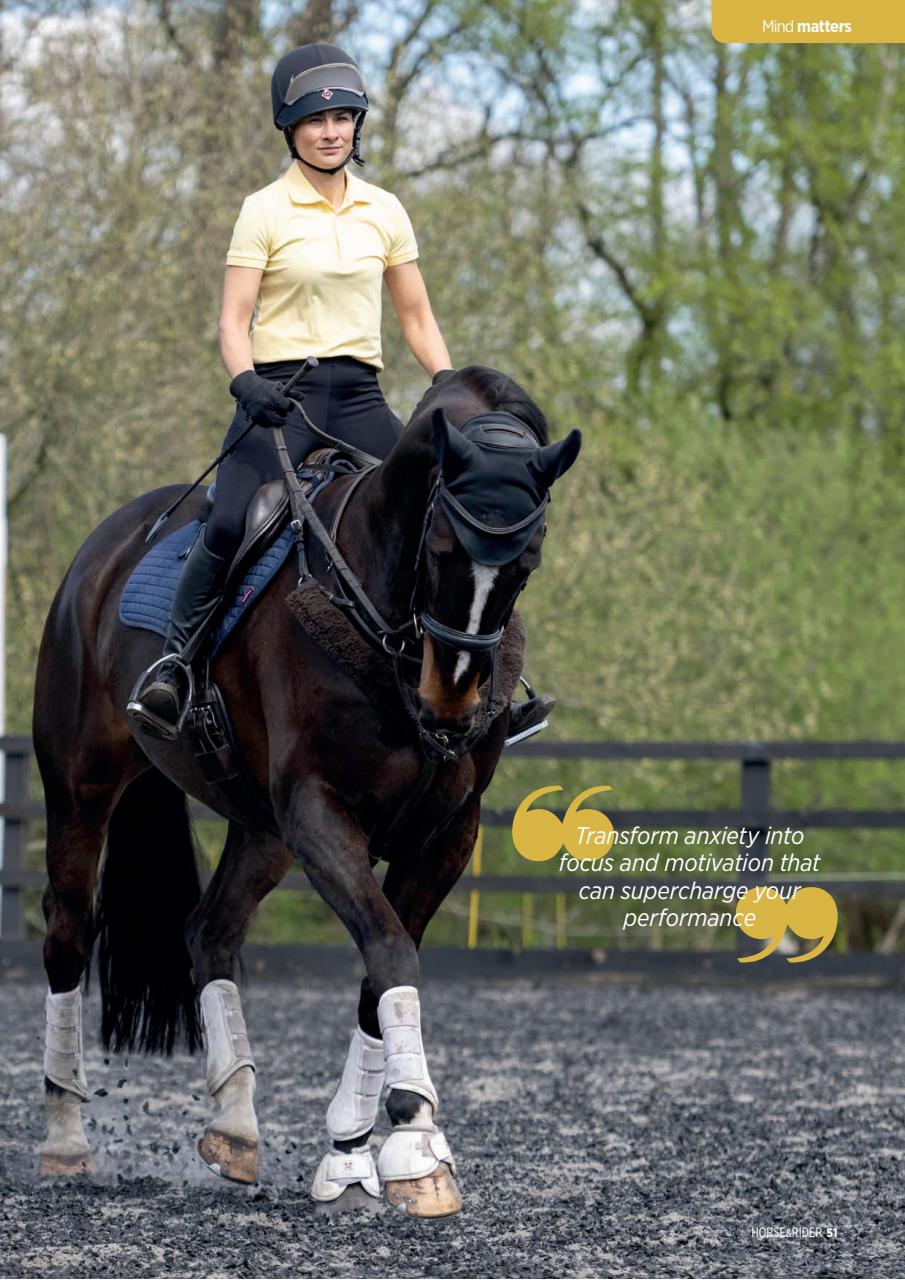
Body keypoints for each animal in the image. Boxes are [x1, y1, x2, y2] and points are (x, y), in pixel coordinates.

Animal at [33, 365, 581, 1216]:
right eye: (441, 544)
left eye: (527, 560)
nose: (449, 703)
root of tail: (107, 545)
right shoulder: (322, 813)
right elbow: (388, 948)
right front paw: (415, 1138)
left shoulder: (447, 830)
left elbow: (380, 971)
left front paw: (354, 1153)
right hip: (81, 785)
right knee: (67, 935)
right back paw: (65, 1137)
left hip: (260, 829)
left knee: (210, 931)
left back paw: (234, 1126)